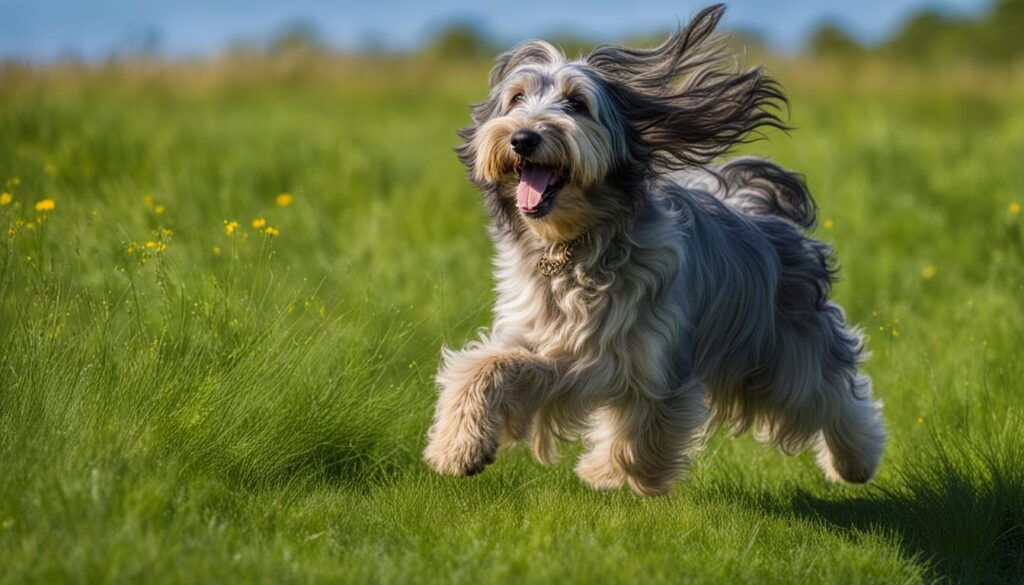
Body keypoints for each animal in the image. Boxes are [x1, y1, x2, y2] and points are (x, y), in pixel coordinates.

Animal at [423, 5, 888, 499]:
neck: (577, 247)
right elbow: (483, 366)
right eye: (515, 99)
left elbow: (642, 428)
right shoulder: (548, 337)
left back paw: (855, 461)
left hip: (782, 349)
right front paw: (457, 449)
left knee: (831, 393)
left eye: (577, 103)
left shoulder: (646, 356)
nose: (523, 138)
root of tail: (759, 208)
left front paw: (618, 473)